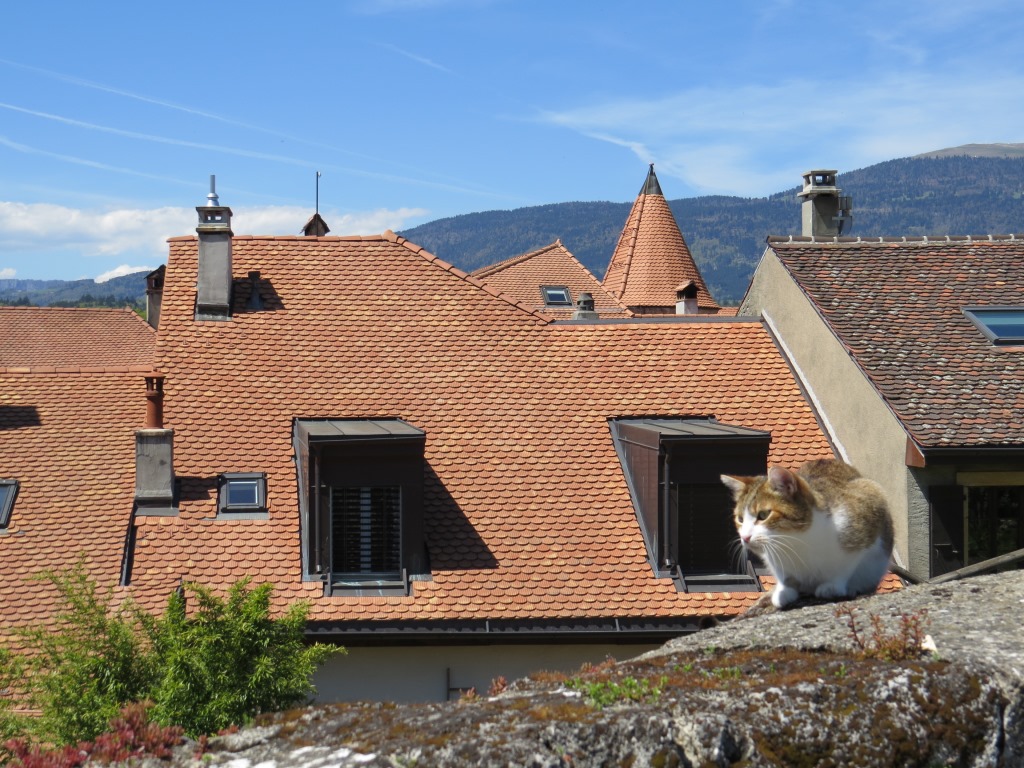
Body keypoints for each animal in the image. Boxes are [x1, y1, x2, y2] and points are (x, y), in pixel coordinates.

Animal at [721, 459, 894, 609]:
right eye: (740, 519)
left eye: (763, 515)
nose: (745, 537)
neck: (797, 542)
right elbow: (784, 575)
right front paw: (784, 590)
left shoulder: (863, 514)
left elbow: (846, 565)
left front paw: (833, 586)